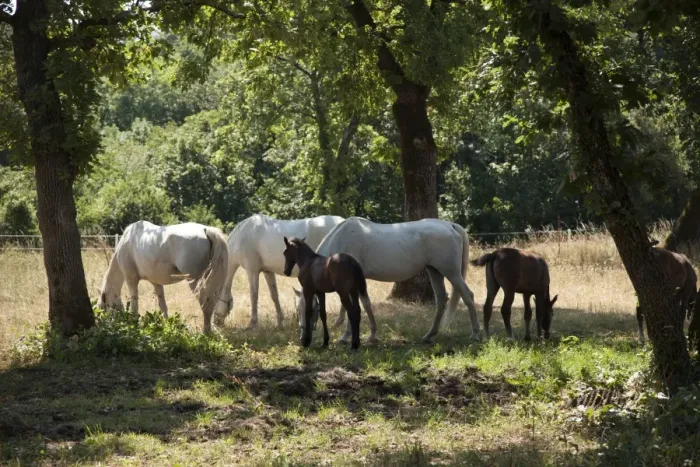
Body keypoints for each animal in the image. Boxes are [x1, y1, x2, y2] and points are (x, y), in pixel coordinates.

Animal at [97, 221, 228, 334]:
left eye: (104, 303)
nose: (104, 323)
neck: (128, 240)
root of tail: (206, 230)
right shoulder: (157, 283)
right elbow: (163, 307)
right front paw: (166, 327)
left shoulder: (131, 280)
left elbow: (134, 306)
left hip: (195, 282)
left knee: (206, 304)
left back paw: (206, 333)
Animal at [213, 214, 344, 329]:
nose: (216, 323)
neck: (242, 237)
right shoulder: (268, 272)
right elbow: (274, 296)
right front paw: (280, 322)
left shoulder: (252, 270)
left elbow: (254, 295)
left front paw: (253, 323)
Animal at [304, 217, 480, 344]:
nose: (304, 340)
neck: (342, 240)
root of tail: (451, 225)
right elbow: (356, 306)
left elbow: (355, 307)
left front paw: (349, 337)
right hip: (434, 271)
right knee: (442, 300)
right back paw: (429, 335)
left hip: (452, 273)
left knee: (468, 296)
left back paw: (476, 334)